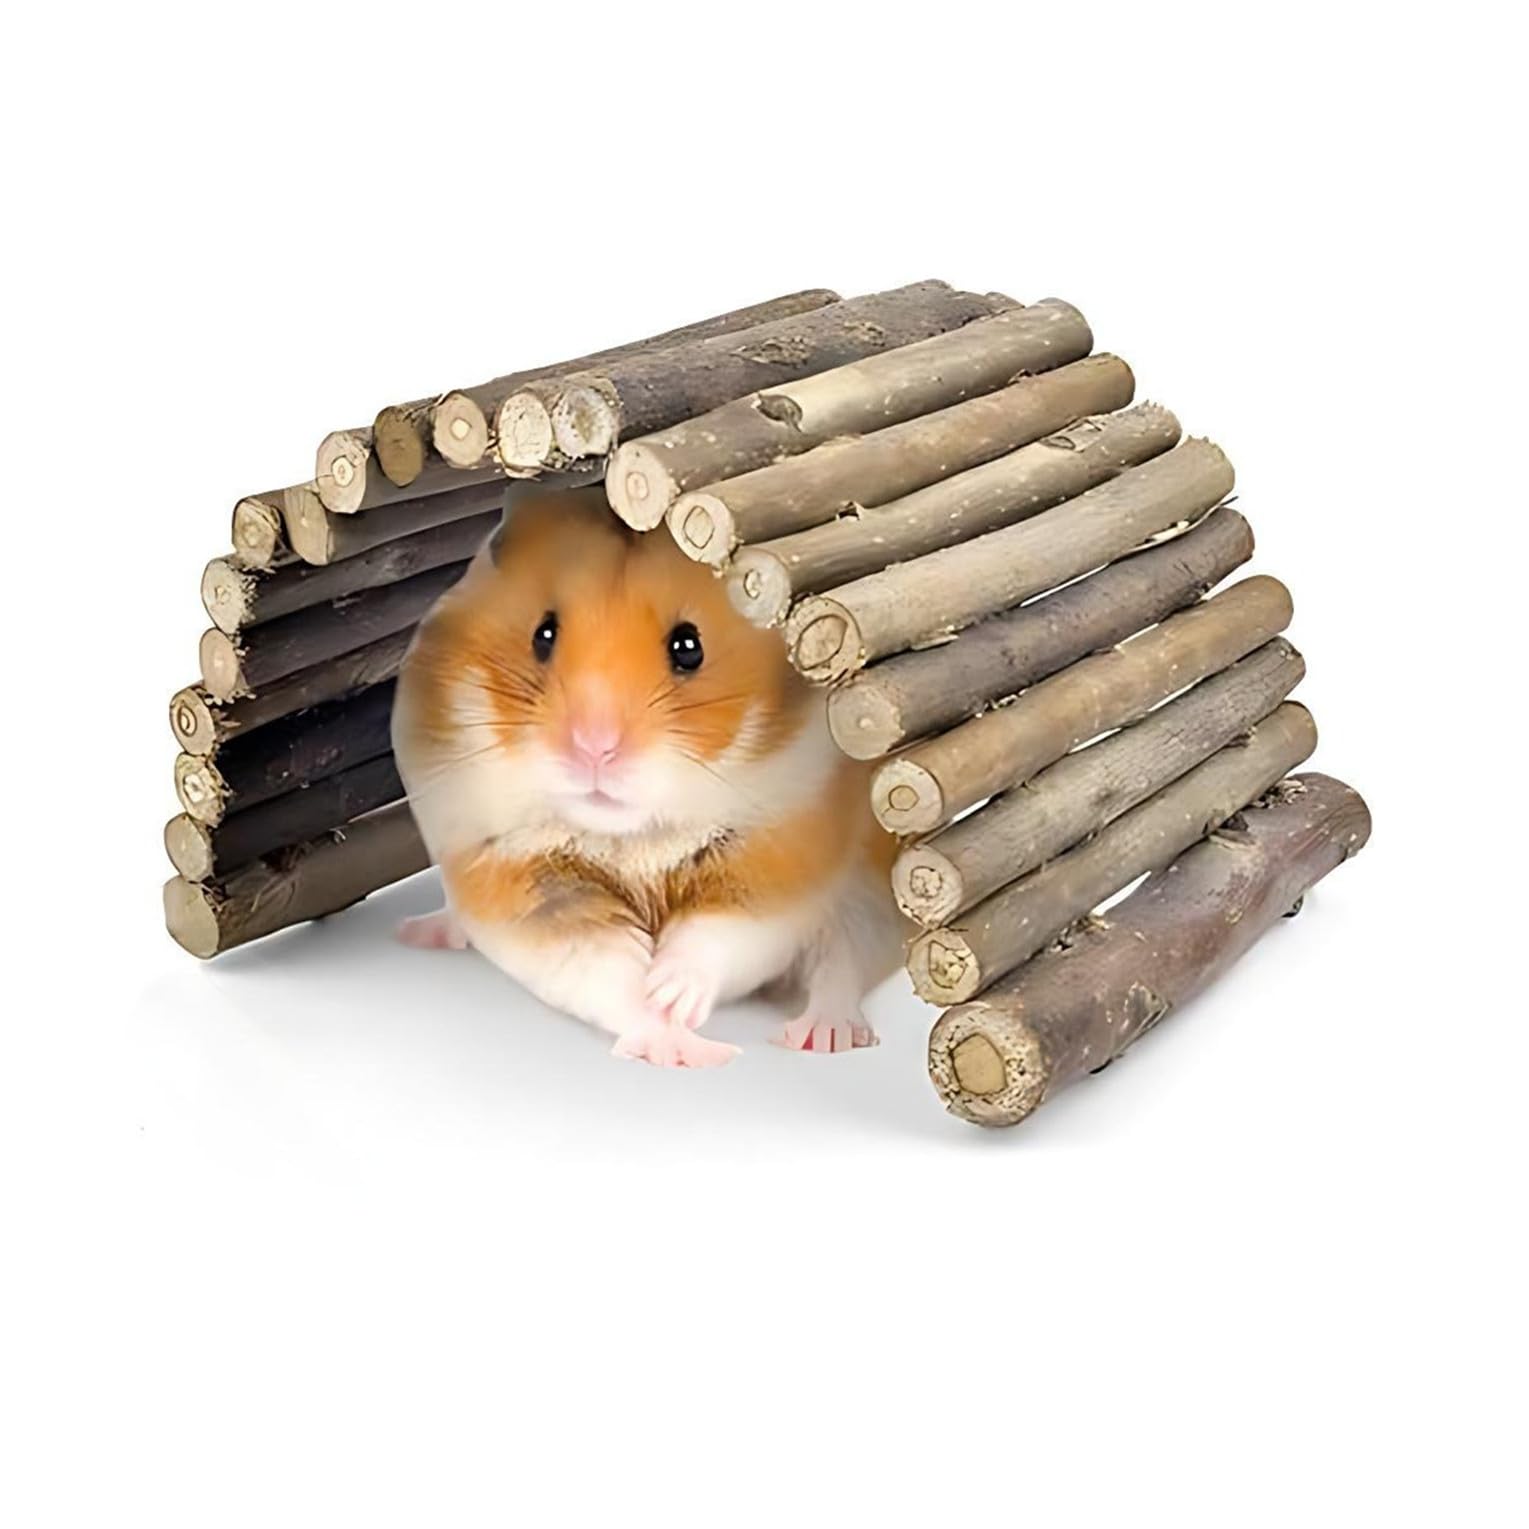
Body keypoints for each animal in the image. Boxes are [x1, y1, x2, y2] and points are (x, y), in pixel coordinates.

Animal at [391, 486, 904, 1068]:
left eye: (688, 646)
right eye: (543, 634)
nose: (593, 746)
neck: (631, 839)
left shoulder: (775, 864)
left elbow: (716, 937)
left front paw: (673, 996)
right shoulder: (525, 882)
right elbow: (602, 968)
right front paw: (678, 1039)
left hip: (870, 900)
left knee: (841, 968)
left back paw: (821, 1037)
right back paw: (418, 932)